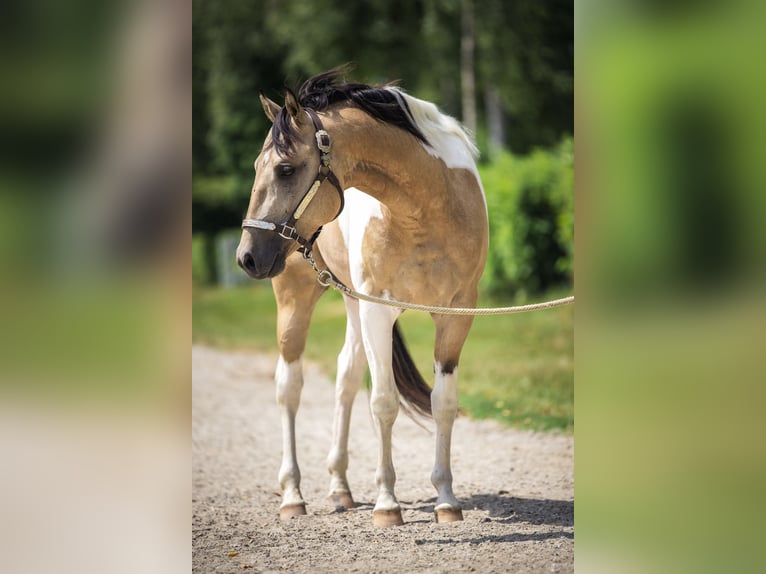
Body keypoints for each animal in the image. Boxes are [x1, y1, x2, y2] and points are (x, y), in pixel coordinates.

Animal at [236, 68, 488, 527]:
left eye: (284, 169)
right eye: (257, 167)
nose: (246, 256)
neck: (427, 210)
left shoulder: (456, 316)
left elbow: (443, 403)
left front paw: (446, 499)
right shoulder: (377, 312)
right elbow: (384, 402)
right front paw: (387, 504)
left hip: (352, 303)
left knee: (345, 377)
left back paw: (341, 488)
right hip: (297, 299)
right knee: (289, 387)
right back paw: (293, 495)